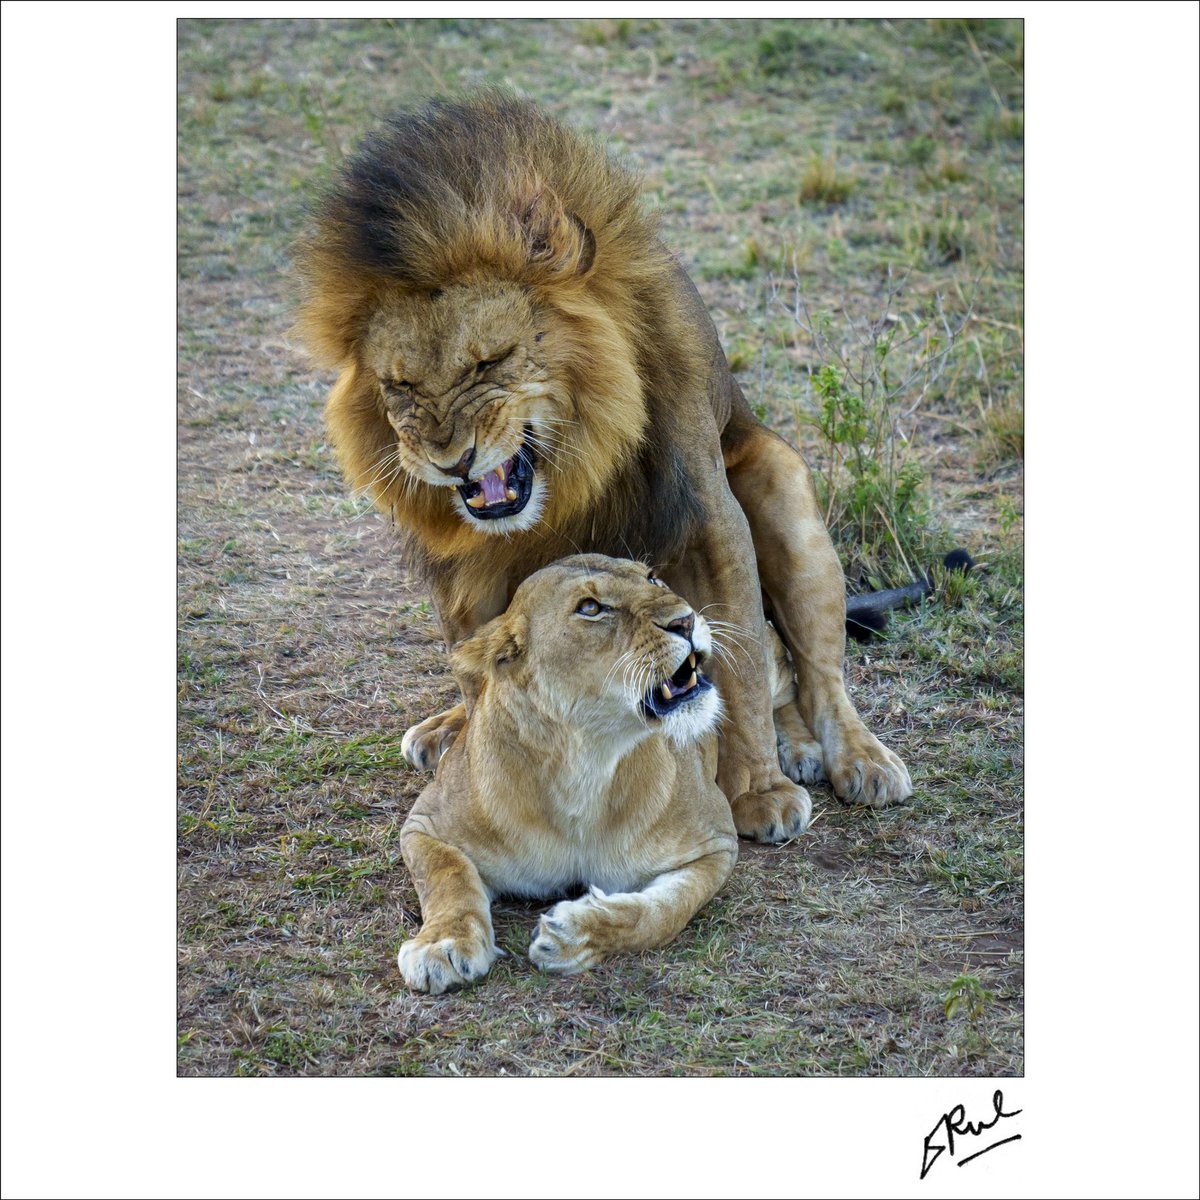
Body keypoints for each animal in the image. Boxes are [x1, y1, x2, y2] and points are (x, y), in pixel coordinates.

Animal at [294, 91, 912, 844]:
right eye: (400, 386)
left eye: (490, 361)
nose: (449, 461)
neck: (568, 465)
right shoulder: (459, 560)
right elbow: (479, 664)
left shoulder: (705, 511)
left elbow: (736, 670)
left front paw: (760, 791)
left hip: (780, 487)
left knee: (808, 671)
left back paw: (850, 758)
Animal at [397, 555, 738, 993]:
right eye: (590, 608)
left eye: (653, 579)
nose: (686, 620)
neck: (584, 763)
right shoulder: (425, 826)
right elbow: (447, 873)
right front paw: (443, 944)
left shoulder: (717, 841)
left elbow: (664, 912)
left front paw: (577, 935)